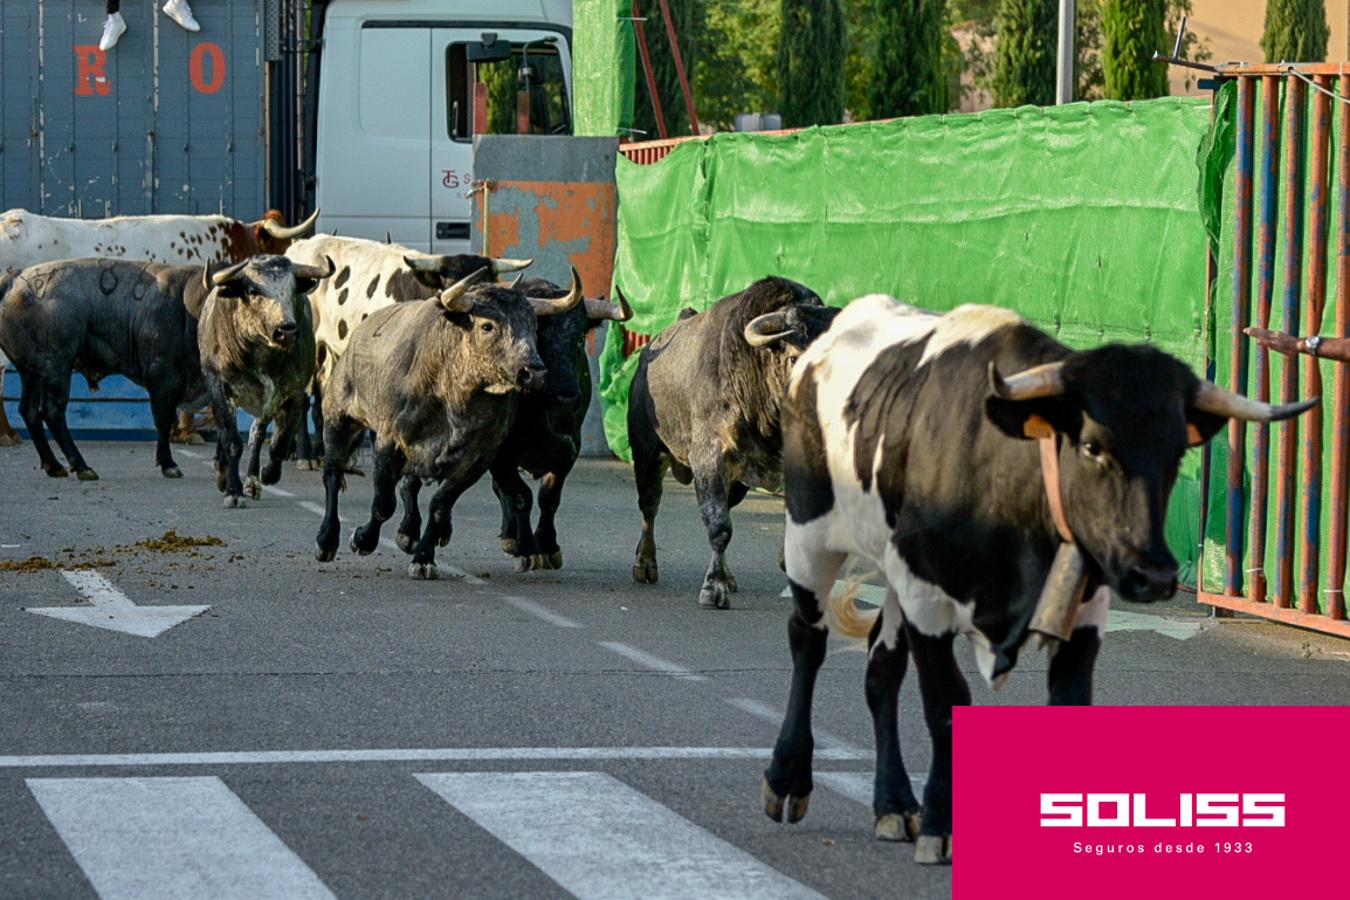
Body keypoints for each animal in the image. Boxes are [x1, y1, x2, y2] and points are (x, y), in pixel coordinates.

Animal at [0, 256, 218, 483]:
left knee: (29, 411)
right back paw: (81, 466)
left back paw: (53, 465)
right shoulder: (161, 380)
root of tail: (14, 278)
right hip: (56, 369)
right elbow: (163, 421)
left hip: (30, 373)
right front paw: (168, 464)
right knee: (52, 411)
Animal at [197, 255, 336, 507]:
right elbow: (231, 440)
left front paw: (268, 474)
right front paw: (233, 490)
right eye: (253, 290)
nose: (287, 331)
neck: (262, 356)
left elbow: (279, 443)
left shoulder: (291, 393)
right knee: (227, 433)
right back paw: (223, 472)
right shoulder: (219, 387)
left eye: (293, 288)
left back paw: (252, 481)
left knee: (257, 435)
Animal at [318, 267, 583, 580]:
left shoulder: (477, 460)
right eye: (487, 326)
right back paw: (326, 540)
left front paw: (424, 557)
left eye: (533, 325)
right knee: (333, 474)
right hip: (337, 416)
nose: (535, 373)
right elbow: (383, 503)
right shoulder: (387, 443)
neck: (452, 395)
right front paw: (362, 539)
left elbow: (439, 505)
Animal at [626, 277, 837, 609]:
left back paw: (729, 576)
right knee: (650, 506)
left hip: (736, 484)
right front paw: (713, 587)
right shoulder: (709, 461)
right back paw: (645, 564)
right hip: (647, 455)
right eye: (794, 356)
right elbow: (719, 526)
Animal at [766, 295, 1312, 863]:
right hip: (808, 534)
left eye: (1176, 450)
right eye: (1092, 446)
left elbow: (1066, 703)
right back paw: (788, 780)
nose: (1155, 574)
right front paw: (940, 824)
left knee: (881, 669)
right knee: (807, 639)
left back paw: (893, 805)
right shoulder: (926, 597)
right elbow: (944, 705)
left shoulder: (1083, 610)